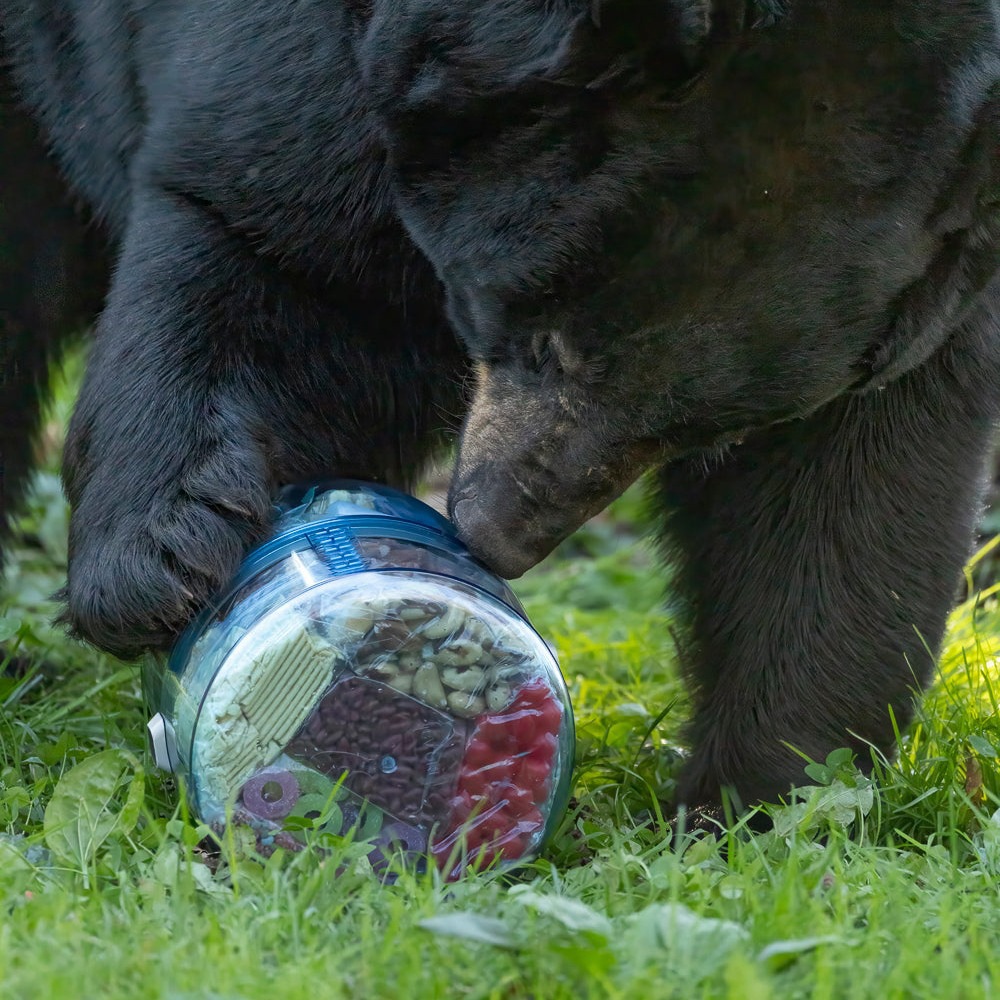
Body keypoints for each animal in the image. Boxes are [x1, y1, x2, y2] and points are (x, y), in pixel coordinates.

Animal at [1, 0, 998, 820]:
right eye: (544, 337)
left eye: (702, 427)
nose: (491, 534)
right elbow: (260, 238)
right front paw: (156, 564)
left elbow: (845, 491)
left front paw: (763, 800)